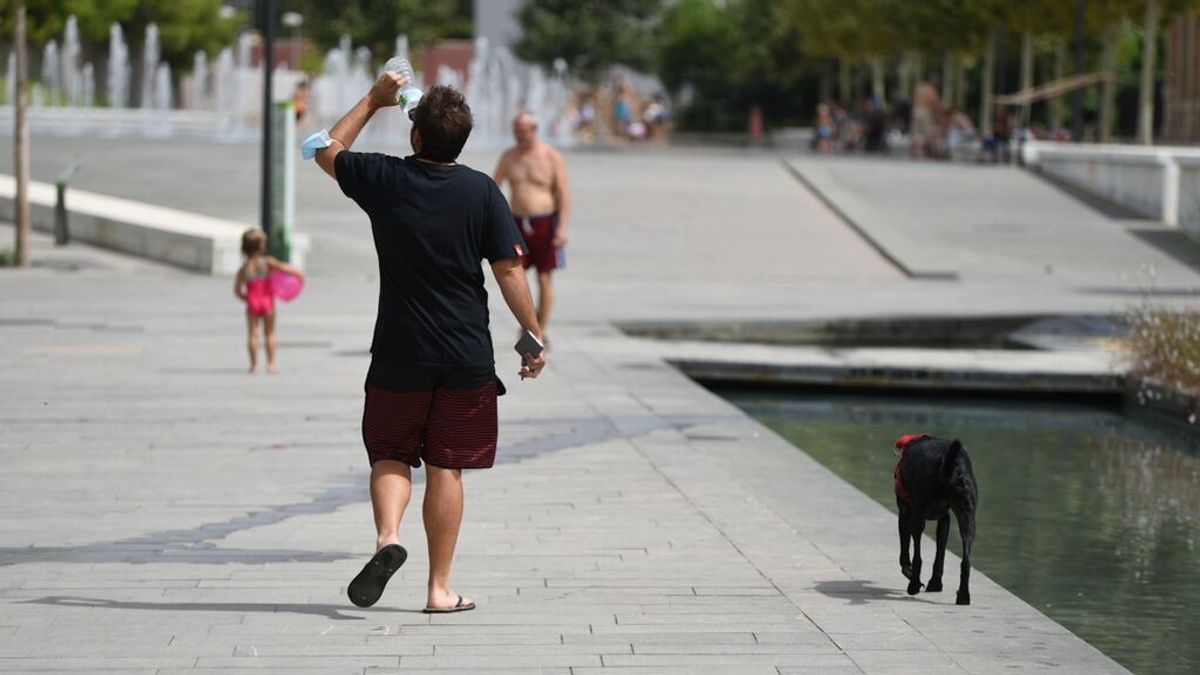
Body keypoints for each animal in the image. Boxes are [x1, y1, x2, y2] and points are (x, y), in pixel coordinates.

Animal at [897, 432, 979, 600]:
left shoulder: (904, 515)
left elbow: (905, 551)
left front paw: (908, 571)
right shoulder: (944, 520)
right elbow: (940, 553)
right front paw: (935, 583)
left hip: (917, 517)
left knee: (918, 556)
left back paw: (913, 585)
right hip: (968, 518)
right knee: (966, 561)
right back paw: (963, 596)